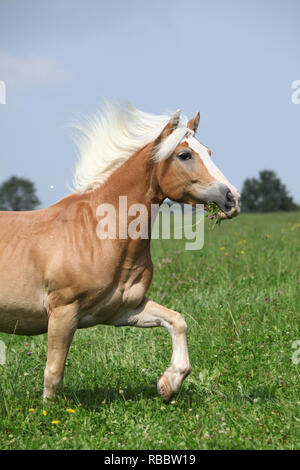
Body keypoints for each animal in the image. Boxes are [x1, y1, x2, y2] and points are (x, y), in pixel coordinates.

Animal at [0, 102, 240, 400]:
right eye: (184, 154)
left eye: (208, 152)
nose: (232, 198)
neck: (97, 235)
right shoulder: (63, 312)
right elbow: (53, 373)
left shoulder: (122, 310)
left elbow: (177, 321)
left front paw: (169, 383)